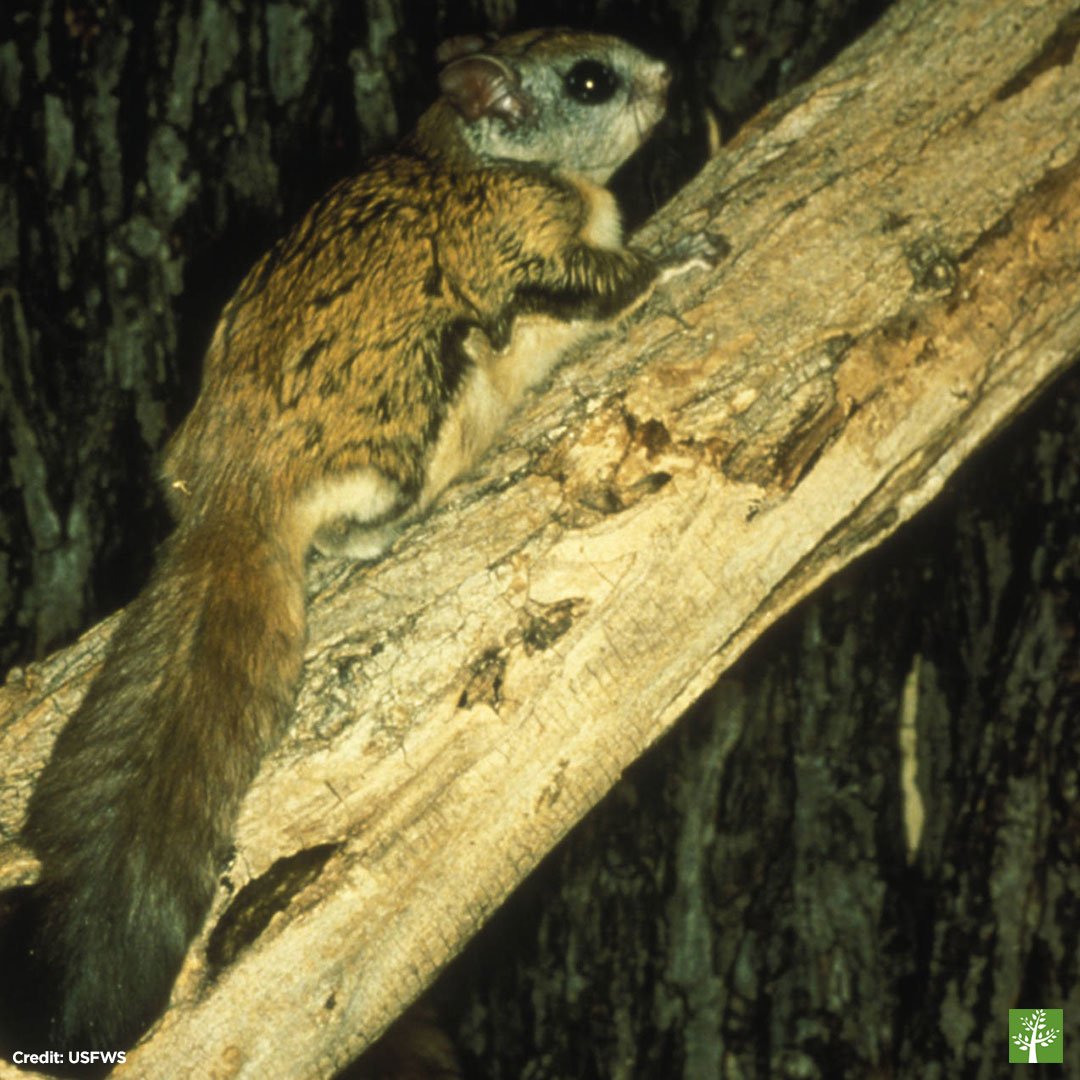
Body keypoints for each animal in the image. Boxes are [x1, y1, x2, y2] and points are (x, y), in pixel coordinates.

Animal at [21, 27, 706, 1053]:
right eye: (592, 79)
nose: (671, 75)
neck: (474, 155)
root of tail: (233, 495)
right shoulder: (526, 247)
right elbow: (606, 283)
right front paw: (682, 255)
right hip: (419, 398)